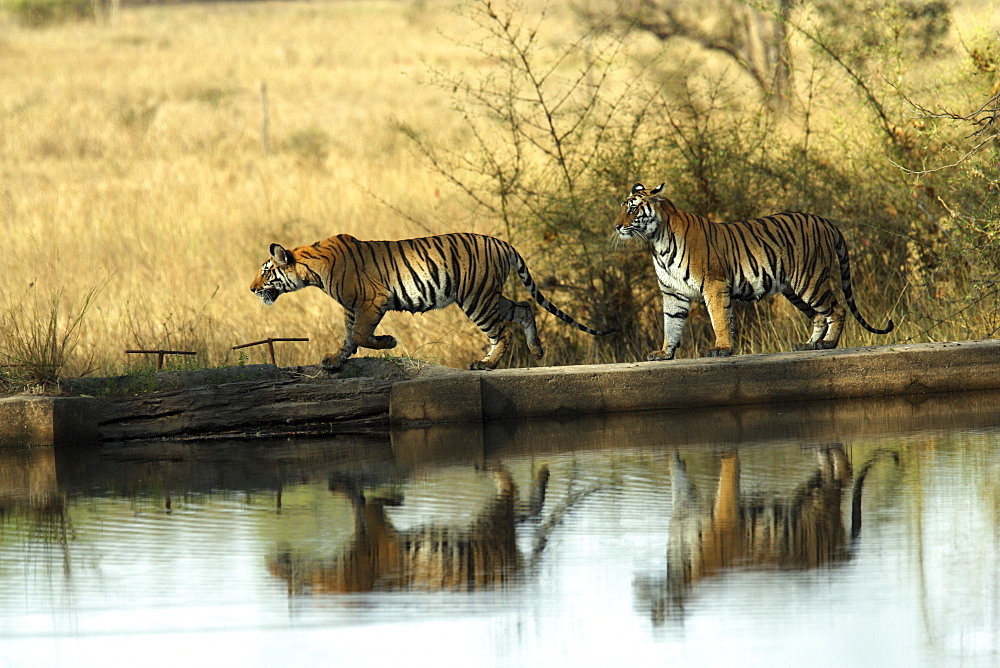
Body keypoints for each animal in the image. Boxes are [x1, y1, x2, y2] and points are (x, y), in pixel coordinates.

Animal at [250, 234, 612, 370]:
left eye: (266, 271)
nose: (252, 289)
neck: (312, 270)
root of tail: (500, 241)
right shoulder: (352, 308)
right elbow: (349, 337)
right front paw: (334, 361)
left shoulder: (372, 301)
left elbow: (362, 335)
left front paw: (388, 342)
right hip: (489, 295)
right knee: (523, 308)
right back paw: (535, 351)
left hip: (475, 298)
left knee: (503, 331)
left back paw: (486, 364)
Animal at [612, 183, 896, 360]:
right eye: (623, 207)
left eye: (633, 209)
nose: (616, 226)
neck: (657, 241)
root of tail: (824, 220)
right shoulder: (672, 293)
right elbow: (671, 323)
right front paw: (664, 353)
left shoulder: (714, 285)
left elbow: (720, 319)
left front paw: (722, 349)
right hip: (794, 290)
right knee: (818, 316)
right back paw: (810, 344)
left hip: (810, 280)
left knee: (837, 310)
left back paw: (828, 344)